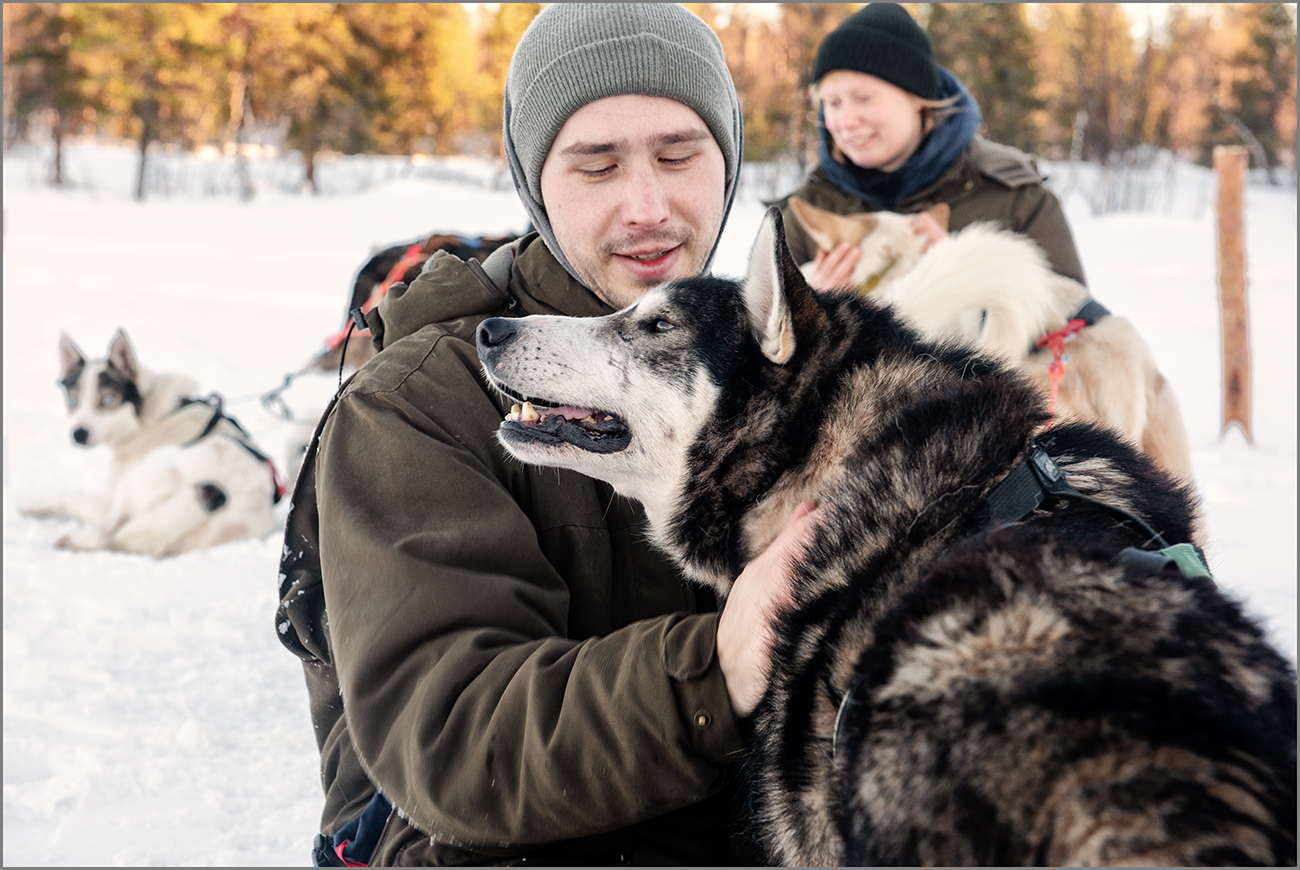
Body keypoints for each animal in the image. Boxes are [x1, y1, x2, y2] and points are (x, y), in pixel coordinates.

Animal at [20, 325, 286, 556]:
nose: (78, 434)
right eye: (73, 401)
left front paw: (30, 504)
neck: (148, 416)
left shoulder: (108, 500)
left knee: (106, 531)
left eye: (107, 401)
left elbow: (67, 495)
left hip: (134, 483)